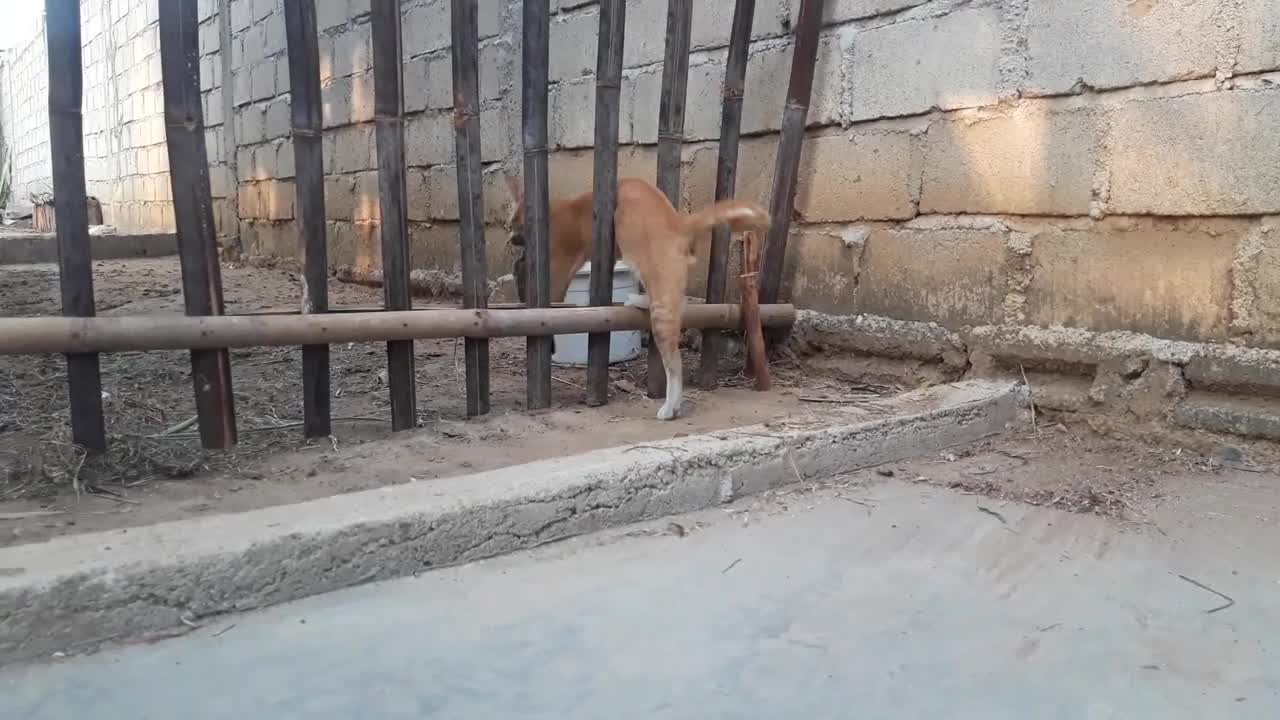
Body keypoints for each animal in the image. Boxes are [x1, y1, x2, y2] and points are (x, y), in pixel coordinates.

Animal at [506, 175, 768, 420]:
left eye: (513, 223)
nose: (510, 237)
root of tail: (679, 223)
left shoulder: (558, 269)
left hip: (659, 298)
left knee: (674, 363)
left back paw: (669, 408)